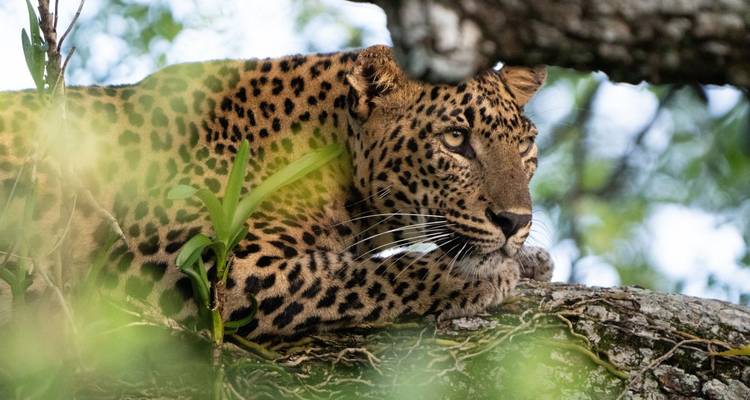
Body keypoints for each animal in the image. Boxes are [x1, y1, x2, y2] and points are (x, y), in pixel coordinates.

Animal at [0, 45, 553, 340]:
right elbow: (352, 275)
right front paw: (478, 275)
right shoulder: (185, 263)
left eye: (526, 146)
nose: (516, 221)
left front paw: (529, 260)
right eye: (455, 139)